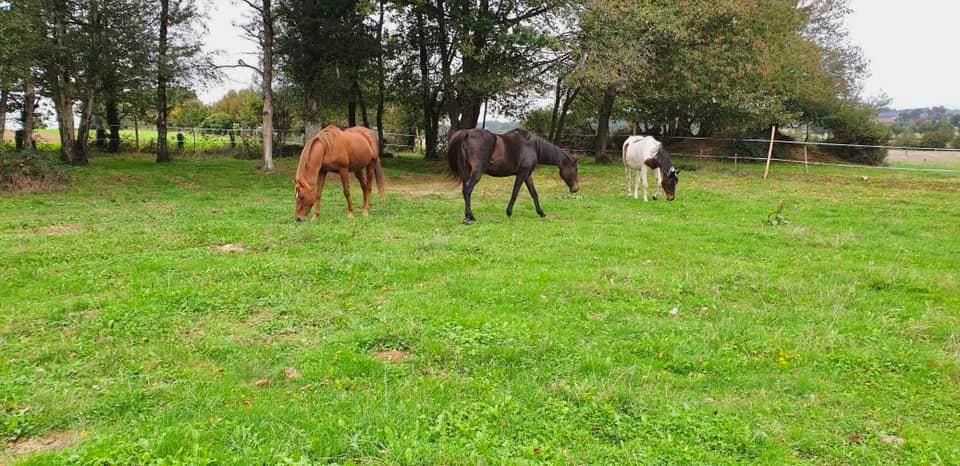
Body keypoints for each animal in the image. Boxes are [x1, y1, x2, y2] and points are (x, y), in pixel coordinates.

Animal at [446, 128, 581, 224]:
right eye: (576, 169)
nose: (576, 189)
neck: (533, 147)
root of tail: (467, 133)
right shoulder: (522, 174)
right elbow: (515, 193)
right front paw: (509, 212)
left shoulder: (528, 175)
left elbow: (534, 194)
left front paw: (541, 213)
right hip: (477, 172)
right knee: (468, 189)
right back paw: (471, 216)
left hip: (466, 172)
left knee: (464, 190)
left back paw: (466, 216)